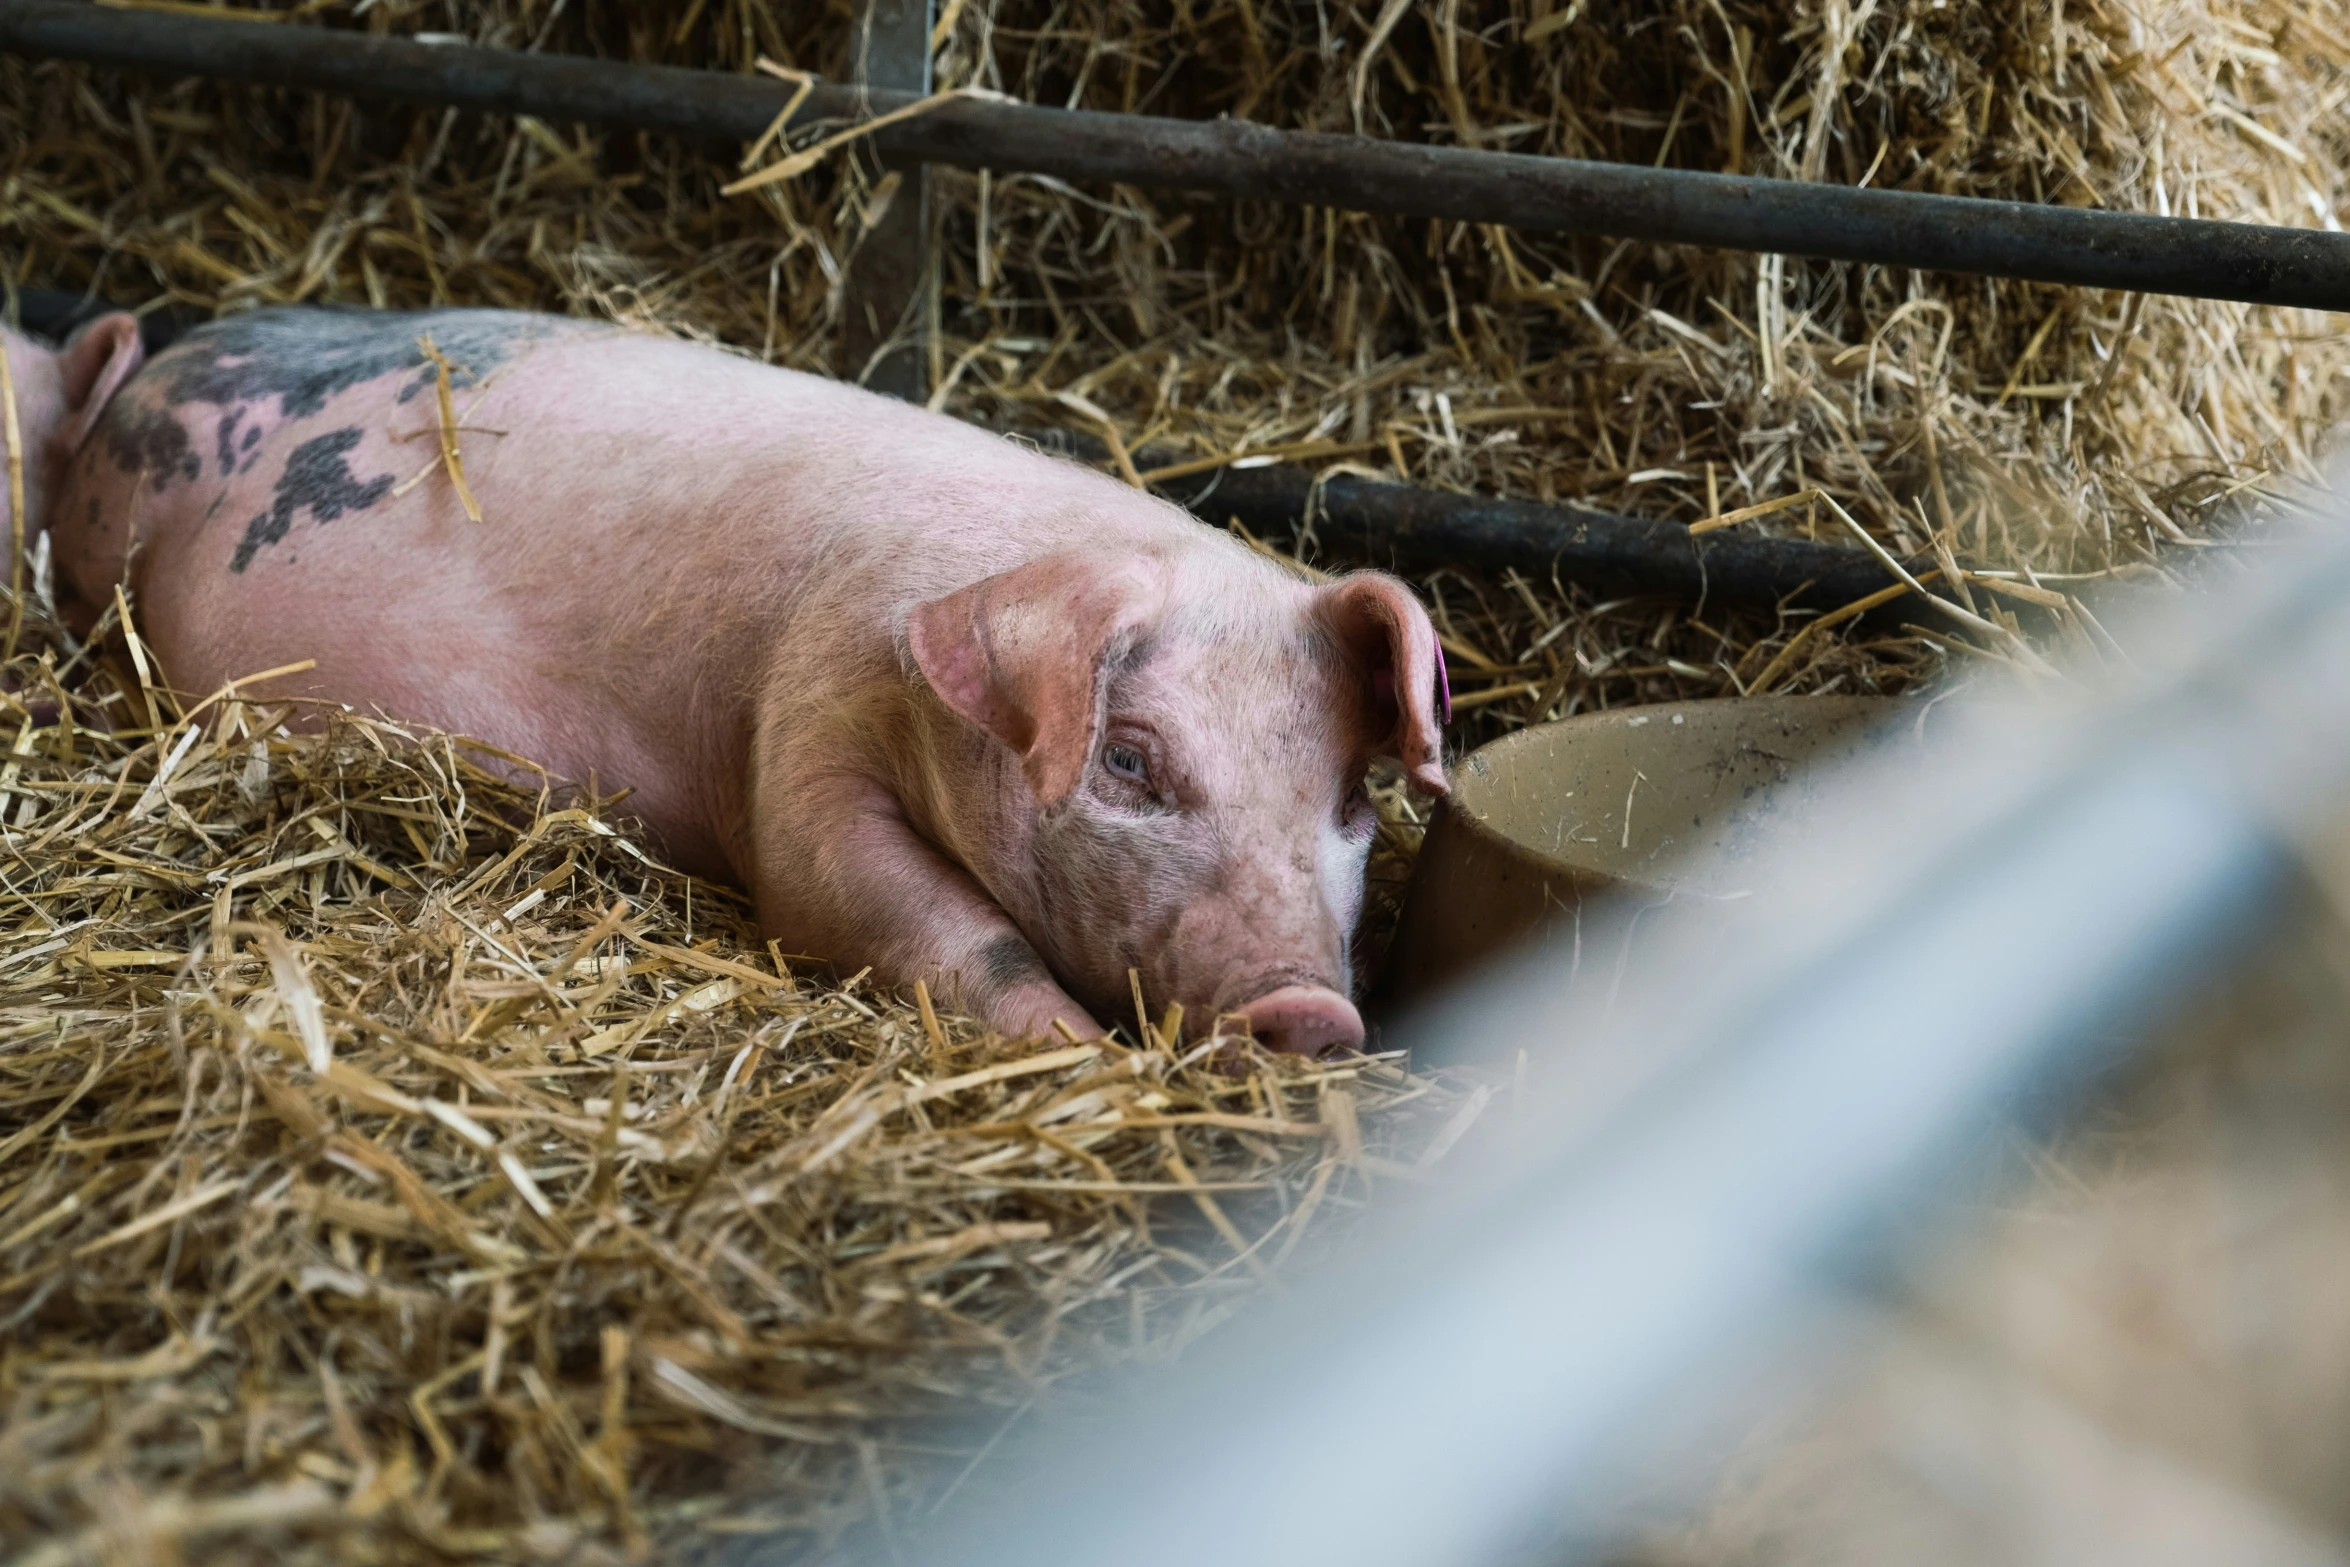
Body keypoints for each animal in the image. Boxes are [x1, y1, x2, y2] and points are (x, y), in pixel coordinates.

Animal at [9, 307, 1447, 1061]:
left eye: (1352, 795)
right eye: (1132, 756)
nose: (1313, 1006)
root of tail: (177, 349)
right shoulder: (805, 726)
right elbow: (884, 905)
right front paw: (1081, 1055)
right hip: (96, 551)